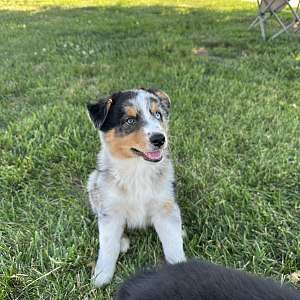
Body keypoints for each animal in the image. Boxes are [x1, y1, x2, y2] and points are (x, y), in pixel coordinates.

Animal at [86, 88, 185, 288]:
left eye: (158, 114)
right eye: (130, 120)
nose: (160, 139)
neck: (138, 169)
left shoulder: (165, 206)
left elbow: (173, 243)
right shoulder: (110, 209)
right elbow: (107, 245)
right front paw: (101, 276)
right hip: (93, 183)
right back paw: (122, 241)